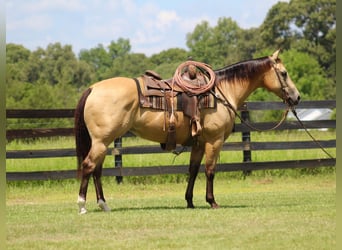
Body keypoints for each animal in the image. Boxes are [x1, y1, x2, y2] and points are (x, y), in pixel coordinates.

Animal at [74, 49, 300, 214]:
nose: (296, 97)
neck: (221, 93)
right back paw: (82, 205)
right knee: (88, 166)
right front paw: (212, 201)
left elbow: (193, 170)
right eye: (284, 73)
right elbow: (210, 170)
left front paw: (190, 201)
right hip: (101, 141)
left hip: (104, 143)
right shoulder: (214, 141)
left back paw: (104, 204)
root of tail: (93, 88)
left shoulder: (198, 143)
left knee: (97, 171)